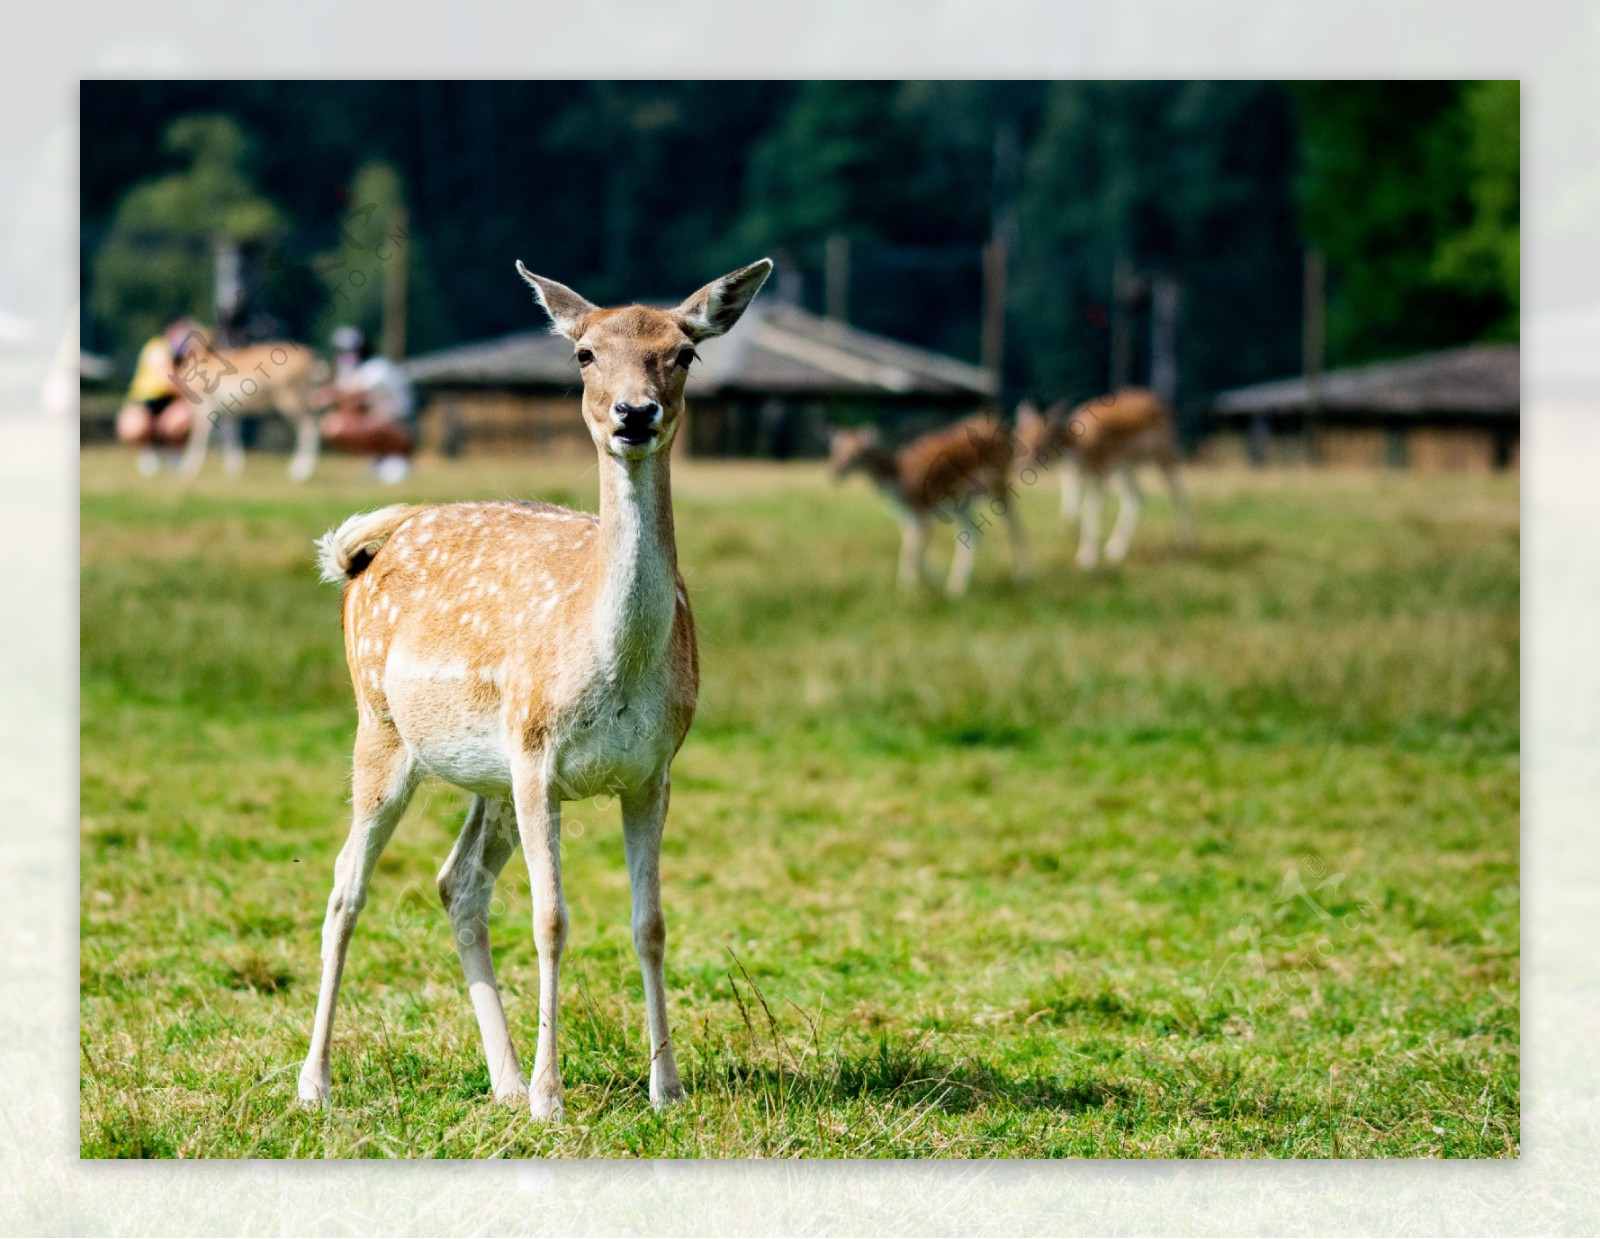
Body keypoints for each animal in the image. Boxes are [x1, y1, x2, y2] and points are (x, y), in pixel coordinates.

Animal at [300, 257, 780, 1120]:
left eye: (684, 352)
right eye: (584, 354)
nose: (634, 412)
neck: (610, 665)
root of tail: (368, 548)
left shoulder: (654, 770)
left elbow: (651, 921)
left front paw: (667, 1088)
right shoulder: (537, 755)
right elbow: (551, 917)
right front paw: (554, 1099)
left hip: (486, 773)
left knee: (456, 883)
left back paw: (503, 1078)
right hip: (381, 724)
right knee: (346, 885)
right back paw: (315, 1082)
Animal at [832, 416, 1030, 598]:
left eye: (857, 454)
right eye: (836, 450)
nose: (835, 473)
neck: (899, 482)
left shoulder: (924, 509)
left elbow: (912, 552)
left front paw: (911, 589)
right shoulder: (907, 516)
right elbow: (910, 550)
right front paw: (923, 584)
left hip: (999, 482)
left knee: (1015, 526)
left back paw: (1023, 578)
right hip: (960, 500)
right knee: (973, 533)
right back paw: (956, 588)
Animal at [1017, 387, 1196, 573]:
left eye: (1040, 440)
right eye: (1021, 437)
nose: (1022, 465)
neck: (1079, 449)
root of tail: (1161, 403)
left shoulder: (1099, 471)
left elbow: (1091, 509)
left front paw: (1087, 559)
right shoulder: (1071, 474)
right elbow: (1069, 512)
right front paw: (1084, 544)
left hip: (1163, 451)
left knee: (1178, 490)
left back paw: (1188, 542)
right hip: (1124, 465)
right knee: (1136, 496)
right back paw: (1115, 550)